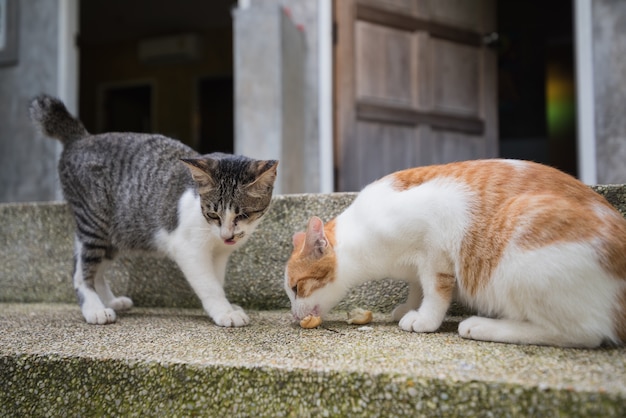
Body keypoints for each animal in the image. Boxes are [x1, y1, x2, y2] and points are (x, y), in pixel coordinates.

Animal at [28, 94, 278, 326]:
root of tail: (80, 138)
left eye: (243, 215)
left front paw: (227, 306)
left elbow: (217, 279)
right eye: (213, 213)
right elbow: (209, 284)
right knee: (81, 268)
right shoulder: (189, 249)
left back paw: (110, 301)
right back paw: (94, 308)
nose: (227, 235)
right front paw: (224, 311)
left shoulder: (218, 253)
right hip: (94, 221)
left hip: (117, 234)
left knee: (96, 267)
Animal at [284, 158, 624, 348]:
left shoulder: (435, 246)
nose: (294, 315)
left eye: (297, 288)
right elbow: (416, 287)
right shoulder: (416, 266)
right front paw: (408, 306)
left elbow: (435, 290)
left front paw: (425, 319)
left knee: (584, 333)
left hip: (522, 257)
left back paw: (484, 327)